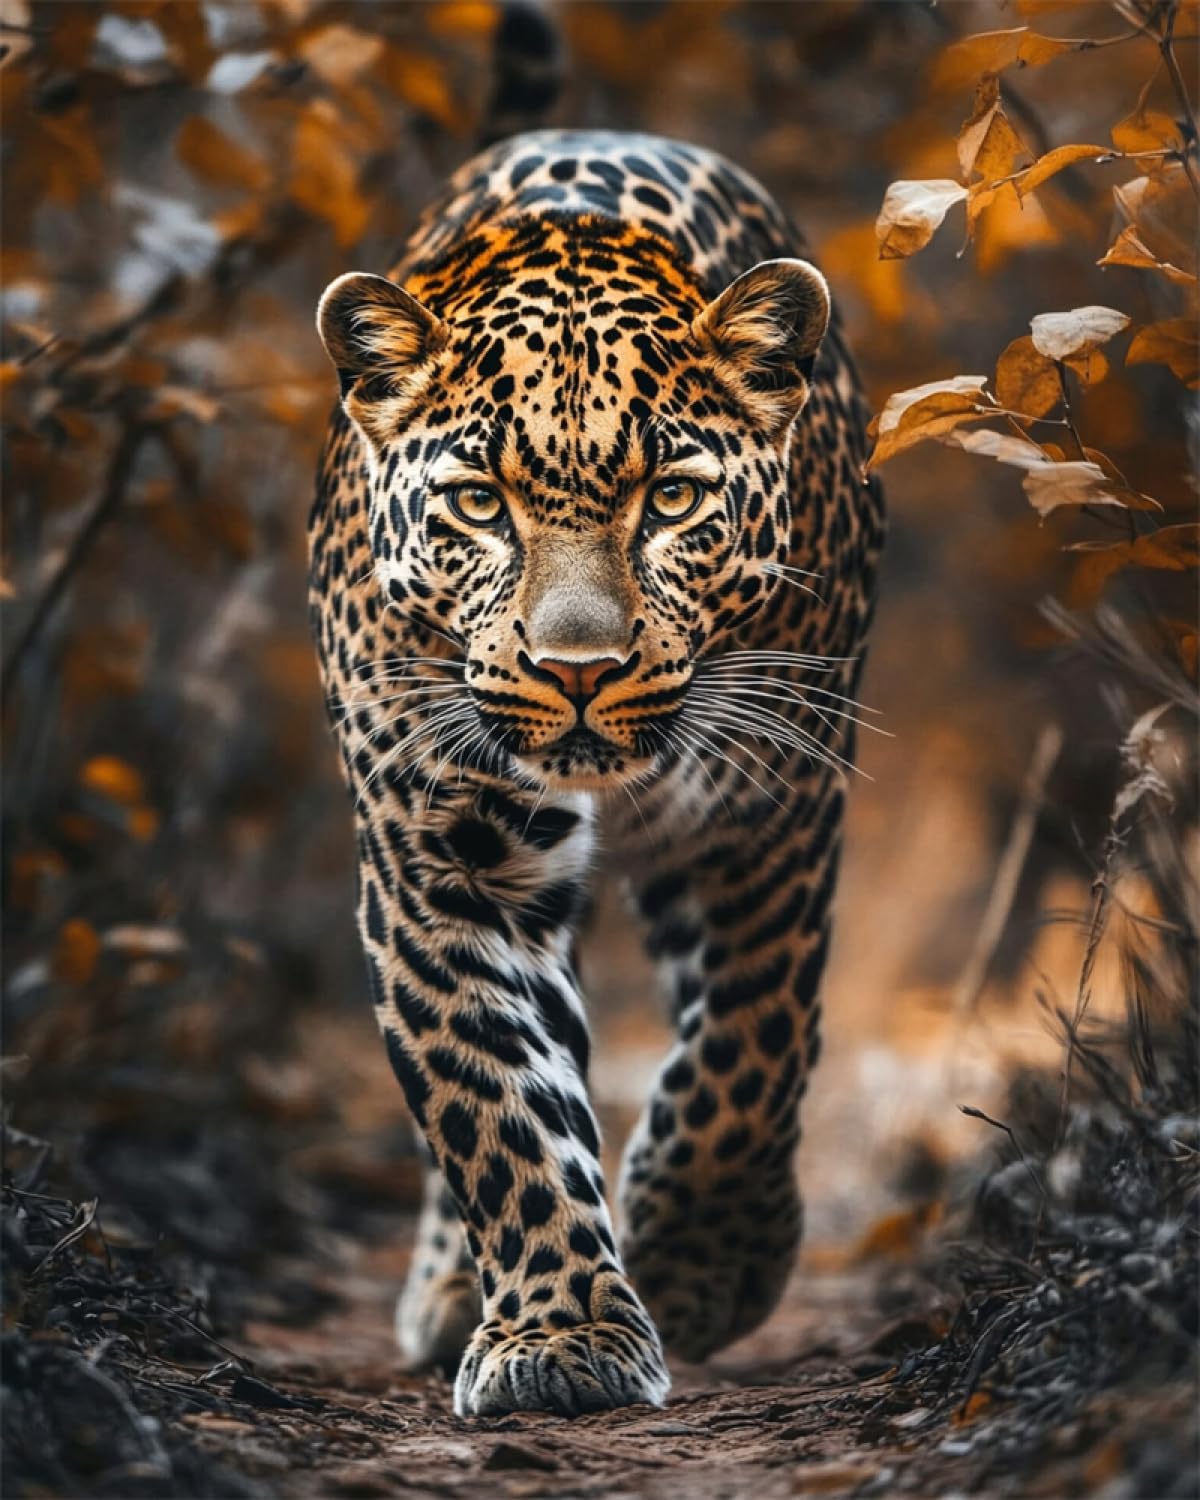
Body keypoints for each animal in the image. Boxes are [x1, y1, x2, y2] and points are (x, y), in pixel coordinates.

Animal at [309, 127, 884, 1419]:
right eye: (479, 503)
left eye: (670, 499)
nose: (578, 668)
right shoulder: (443, 860)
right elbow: (493, 1105)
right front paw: (562, 1337)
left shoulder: (770, 814)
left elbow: (751, 1045)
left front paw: (703, 1257)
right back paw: (448, 1290)